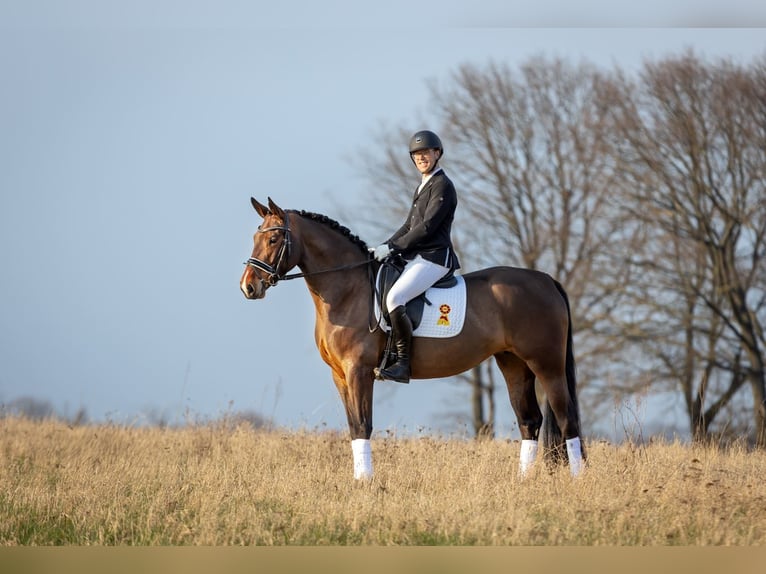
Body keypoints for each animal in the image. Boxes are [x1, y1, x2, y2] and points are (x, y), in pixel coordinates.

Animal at [240, 197, 585, 480]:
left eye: (273, 238)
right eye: (255, 237)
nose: (248, 287)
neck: (347, 290)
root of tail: (545, 280)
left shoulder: (359, 371)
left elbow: (363, 424)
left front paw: (365, 483)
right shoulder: (339, 375)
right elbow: (353, 426)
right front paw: (358, 480)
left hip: (547, 364)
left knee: (566, 419)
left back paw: (576, 479)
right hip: (513, 364)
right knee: (530, 421)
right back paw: (522, 482)